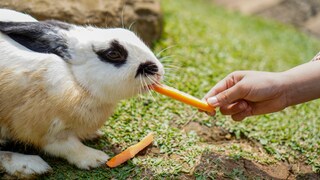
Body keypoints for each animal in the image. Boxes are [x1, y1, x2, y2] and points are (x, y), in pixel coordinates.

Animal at [0, 8, 164, 179]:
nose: (159, 71)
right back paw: (31, 165)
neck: (76, 79)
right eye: (113, 53)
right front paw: (96, 158)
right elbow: (68, 147)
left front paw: (94, 135)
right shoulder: (47, 131)